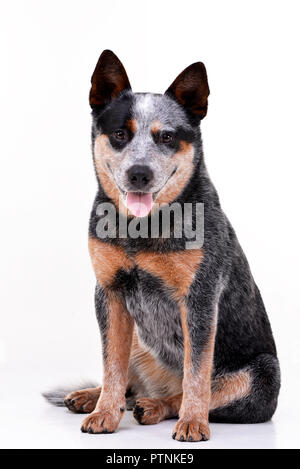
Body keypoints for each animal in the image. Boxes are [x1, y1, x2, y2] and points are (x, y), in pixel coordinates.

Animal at [44, 51, 278, 442]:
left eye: (167, 136)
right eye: (120, 134)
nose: (139, 173)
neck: (141, 228)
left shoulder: (199, 298)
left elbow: (197, 373)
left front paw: (193, 423)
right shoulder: (110, 293)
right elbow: (112, 363)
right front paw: (104, 412)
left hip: (261, 375)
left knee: (185, 393)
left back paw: (157, 407)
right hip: (138, 337)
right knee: (128, 381)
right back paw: (92, 397)